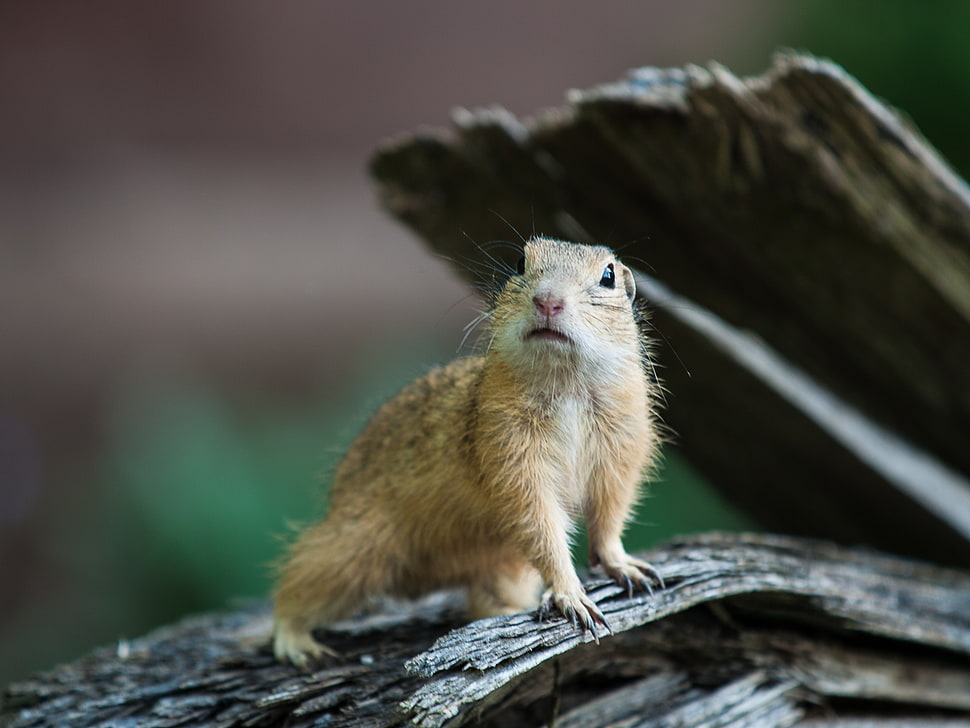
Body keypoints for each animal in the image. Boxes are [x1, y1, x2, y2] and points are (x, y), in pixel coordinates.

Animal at [272, 237, 663, 666]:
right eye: (519, 262)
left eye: (609, 276)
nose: (548, 301)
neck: (565, 384)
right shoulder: (512, 459)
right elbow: (541, 526)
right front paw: (569, 593)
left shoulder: (622, 452)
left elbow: (610, 517)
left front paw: (623, 564)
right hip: (354, 545)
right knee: (296, 584)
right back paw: (294, 639)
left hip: (500, 567)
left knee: (483, 602)